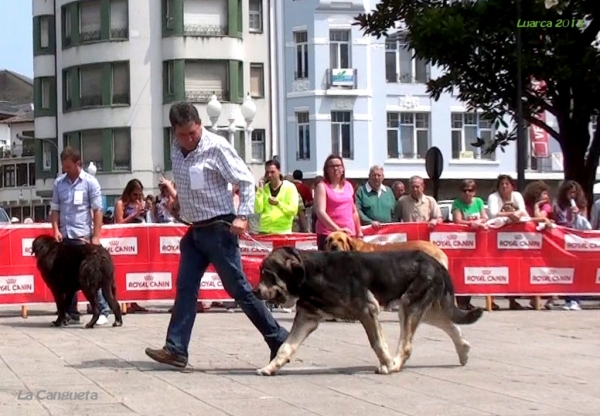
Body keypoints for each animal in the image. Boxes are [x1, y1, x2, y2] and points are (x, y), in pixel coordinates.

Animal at [252, 247, 482, 376]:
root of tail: (437, 263)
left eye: (267, 274)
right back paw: (463, 350)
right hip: (424, 309)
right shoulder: (306, 318)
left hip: (408, 306)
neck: (311, 274)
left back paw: (396, 364)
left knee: (407, 345)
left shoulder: (367, 309)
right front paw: (270, 367)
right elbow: (286, 347)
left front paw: (387, 364)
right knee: (451, 326)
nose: (254, 291)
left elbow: (377, 343)